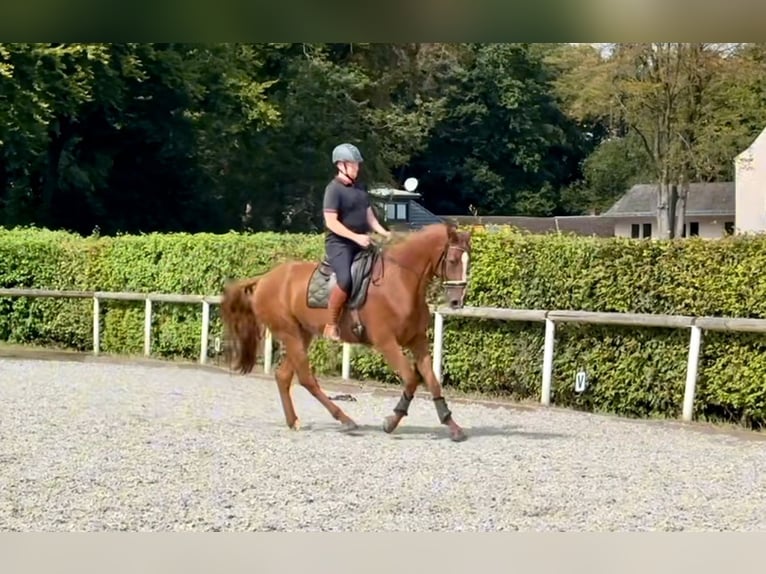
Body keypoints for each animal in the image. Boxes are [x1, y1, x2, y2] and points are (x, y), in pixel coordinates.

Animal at [219, 223, 474, 444]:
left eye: (468, 262)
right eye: (452, 260)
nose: (456, 302)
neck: (400, 282)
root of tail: (264, 278)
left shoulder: (417, 341)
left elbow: (432, 382)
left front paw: (453, 427)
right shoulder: (387, 343)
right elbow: (412, 379)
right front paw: (391, 421)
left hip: (303, 335)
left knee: (283, 376)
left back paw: (294, 421)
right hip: (290, 334)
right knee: (306, 378)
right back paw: (345, 420)